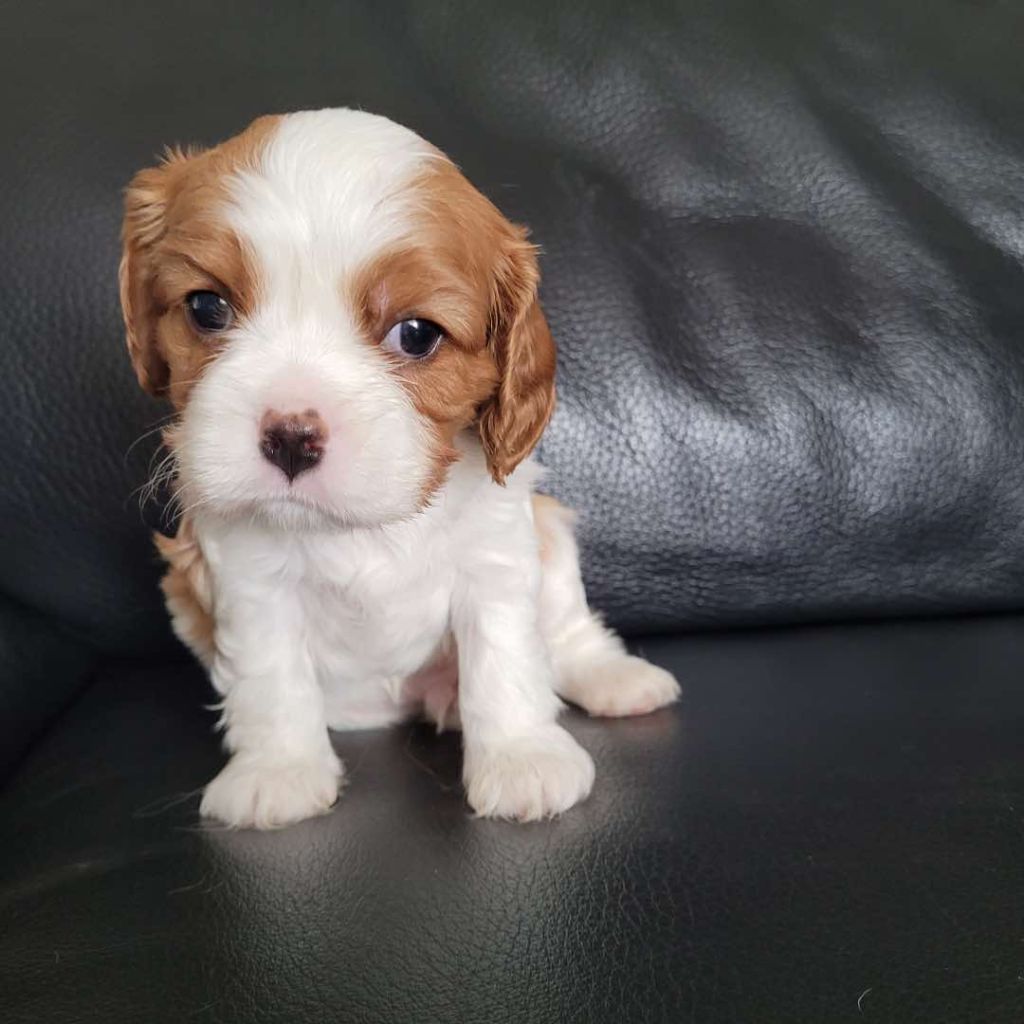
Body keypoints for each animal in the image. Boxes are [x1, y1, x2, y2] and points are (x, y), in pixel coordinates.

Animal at [119, 108, 679, 827]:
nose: (291, 436)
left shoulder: (495, 558)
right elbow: (271, 676)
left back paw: (614, 679)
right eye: (206, 307)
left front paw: (522, 760)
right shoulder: (248, 579)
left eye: (417, 334)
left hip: (549, 536)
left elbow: (505, 656)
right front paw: (278, 771)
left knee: (566, 629)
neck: (363, 526)